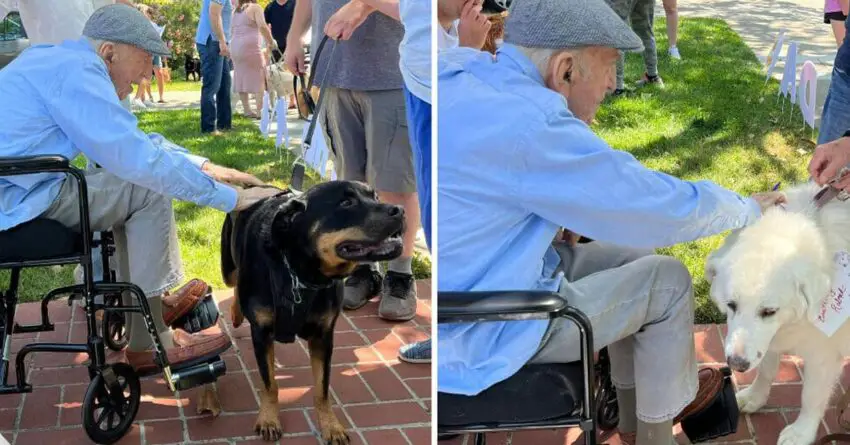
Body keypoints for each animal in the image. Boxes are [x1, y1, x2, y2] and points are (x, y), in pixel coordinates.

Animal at [219, 180, 404, 440]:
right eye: (346, 202)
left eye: (375, 196)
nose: (400, 210)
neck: (301, 273)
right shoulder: (262, 334)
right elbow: (270, 384)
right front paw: (269, 418)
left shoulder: (323, 336)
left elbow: (321, 388)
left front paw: (330, 425)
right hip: (227, 266)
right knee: (234, 282)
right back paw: (236, 313)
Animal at [704, 181, 848, 444]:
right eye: (731, 305)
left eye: (769, 311)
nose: (737, 364)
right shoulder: (769, 340)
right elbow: (766, 370)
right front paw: (755, 397)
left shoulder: (823, 355)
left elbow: (811, 396)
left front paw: (802, 432)